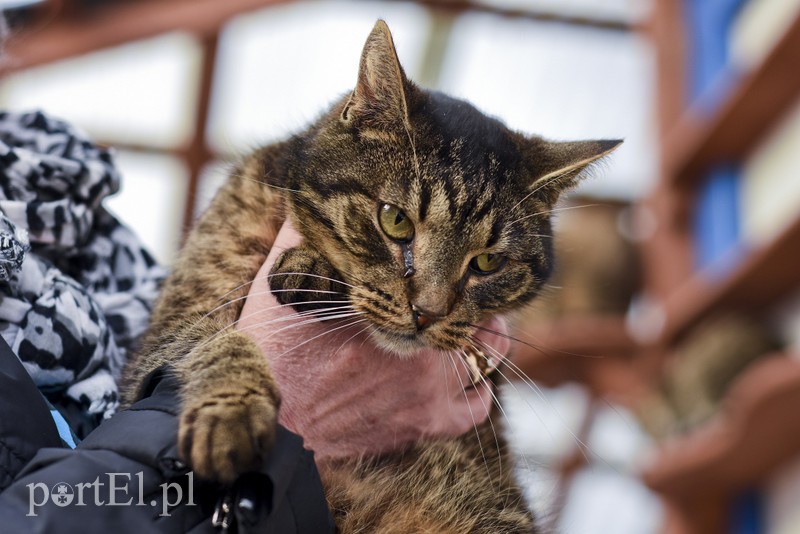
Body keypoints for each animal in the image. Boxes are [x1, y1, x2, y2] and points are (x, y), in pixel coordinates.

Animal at [123, 18, 620, 532]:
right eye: (395, 220)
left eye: (487, 262)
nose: (427, 312)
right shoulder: (178, 321)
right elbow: (219, 343)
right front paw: (232, 412)